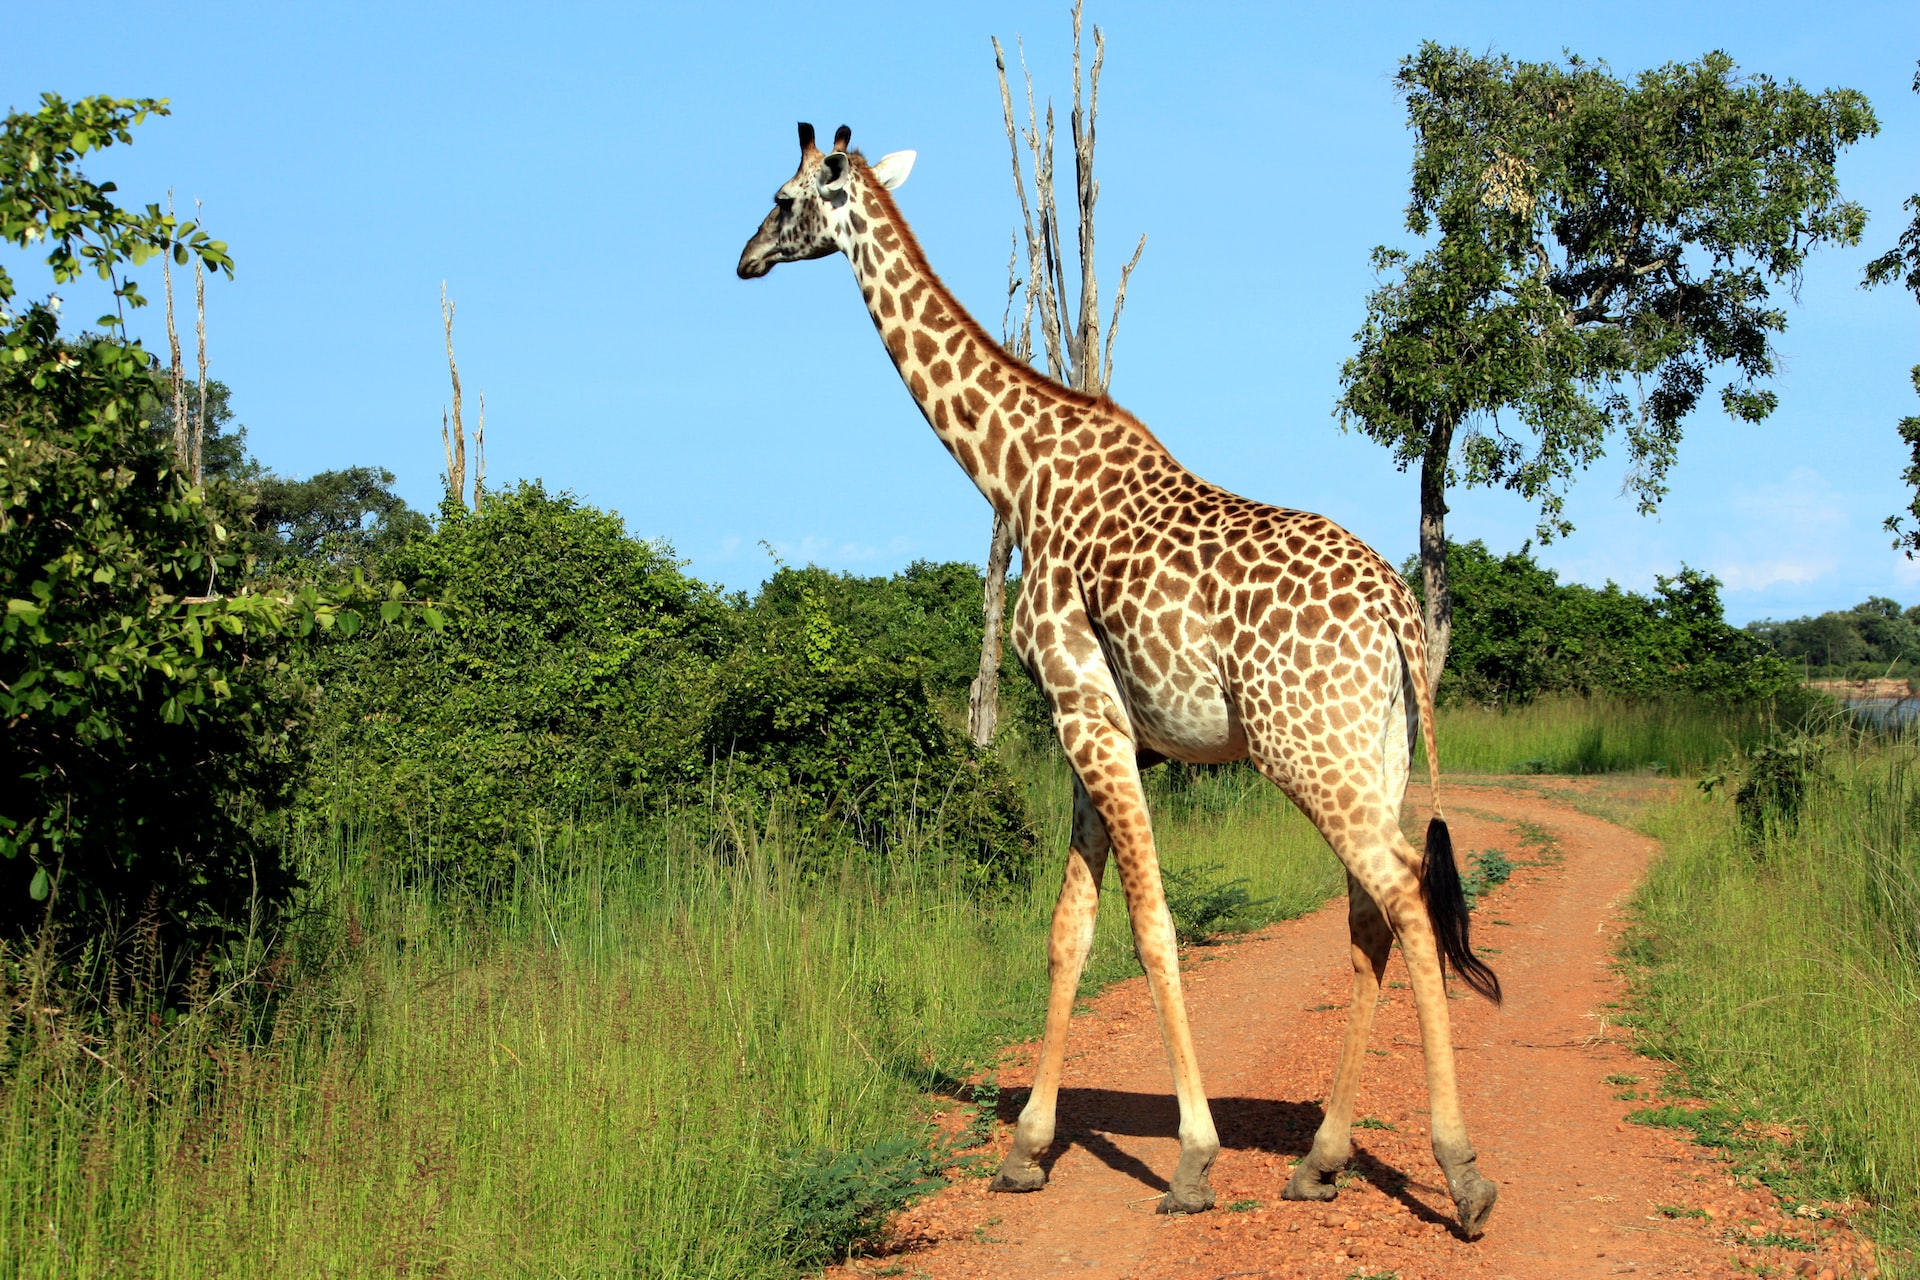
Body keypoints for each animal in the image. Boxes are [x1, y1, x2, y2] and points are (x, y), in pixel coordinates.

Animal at [733, 124, 1497, 1235]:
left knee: (1402, 895)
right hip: (1373, 752)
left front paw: (1190, 1160)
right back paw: (1319, 1160)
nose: (743, 258)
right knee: (1372, 911)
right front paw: (1026, 1151)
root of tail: (1400, 609)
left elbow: (1151, 926)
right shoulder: (1100, 723)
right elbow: (1069, 929)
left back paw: (1461, 1171)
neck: (1013, 469)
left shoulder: (1082, 710)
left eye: (785, 198)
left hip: (1306, 747)